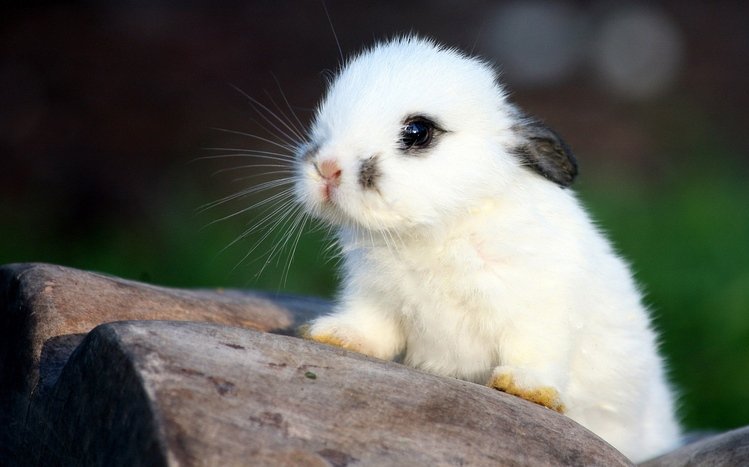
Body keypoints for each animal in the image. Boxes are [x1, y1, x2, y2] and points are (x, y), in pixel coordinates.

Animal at [292, 35, 681, 462]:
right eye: (325, 120)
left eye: (417, 131)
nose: (327, 168)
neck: (437, 230)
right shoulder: (374, 298)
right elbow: (371, 329)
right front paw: (334, 335)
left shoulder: (540, 308)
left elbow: (536, 350)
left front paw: (525, 388)